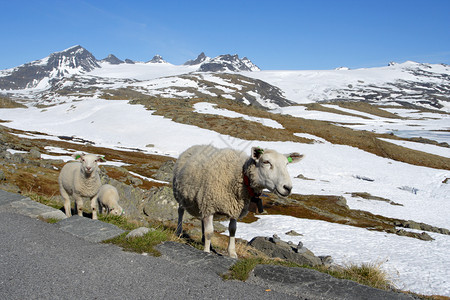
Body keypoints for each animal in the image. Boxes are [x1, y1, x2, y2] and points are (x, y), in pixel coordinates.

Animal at [172, 145, 302, 258]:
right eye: (266, 162)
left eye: (287, 164)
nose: (288, 188)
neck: (242, 177)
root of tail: (194, 147)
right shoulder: (209, 205)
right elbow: (210, 232)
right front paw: (206, 251)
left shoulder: (234, 208)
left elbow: (232, 230)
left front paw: (232, 253)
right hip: (181, 195)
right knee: (180, 211)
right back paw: (179, 232)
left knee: (202, 219)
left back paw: (203, 240)